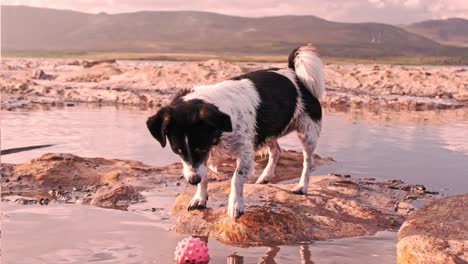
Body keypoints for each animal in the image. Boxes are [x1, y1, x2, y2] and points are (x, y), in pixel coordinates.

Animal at [148, 43, 324, 219]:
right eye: (177, 151)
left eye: (201, 148)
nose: (192, 180)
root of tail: (295, 75)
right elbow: (204, 176)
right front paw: (200, 198)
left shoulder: (244, 152)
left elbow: (236, 179)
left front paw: (235, 205)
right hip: (266, 132)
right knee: (276, 151)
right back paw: (265, 176)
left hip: (307, 133)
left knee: (308, 162)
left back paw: (301, 186)